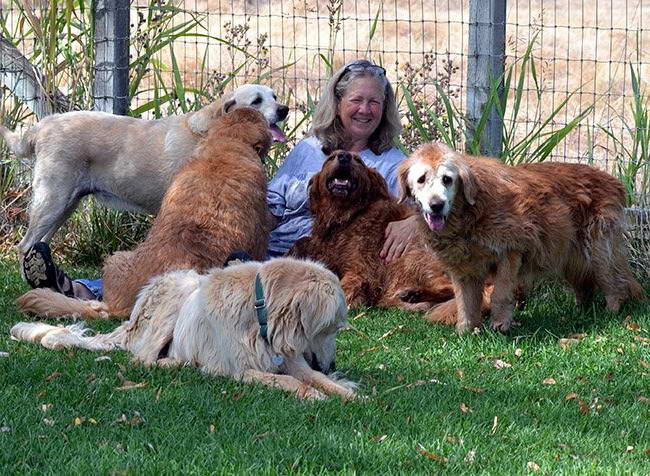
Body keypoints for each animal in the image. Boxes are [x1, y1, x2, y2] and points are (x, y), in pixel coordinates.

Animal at [10, 258, 356, 400]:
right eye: (330, 329)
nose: (332, 363)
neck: (261, 317)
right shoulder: (238, 370)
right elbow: (288, 382)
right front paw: (314, 395)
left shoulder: (294, 360)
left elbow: (316, 379)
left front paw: (349, 394)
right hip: (179, 292)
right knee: (142, 360)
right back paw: (177, 363)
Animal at [288, 151, 480, 326]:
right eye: (330, 158)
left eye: (358, 160)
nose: (344, 156)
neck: (345, 217)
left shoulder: (361, 269)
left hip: (415, 258)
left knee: (457, 290)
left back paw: (415, 295)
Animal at [398, 141, 640, 334]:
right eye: (421, 179)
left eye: (447, 179)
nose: (436, 205)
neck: (469, 212)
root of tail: (615, 181)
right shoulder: (464, 270)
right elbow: (465, 303)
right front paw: (466, 331)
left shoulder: (510, 252)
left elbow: (500, 295)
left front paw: (500, 326)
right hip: (570, 255)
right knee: (585, 287)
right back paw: (579, 312)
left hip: (598, 251)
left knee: (615, 284)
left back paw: (610, 312)